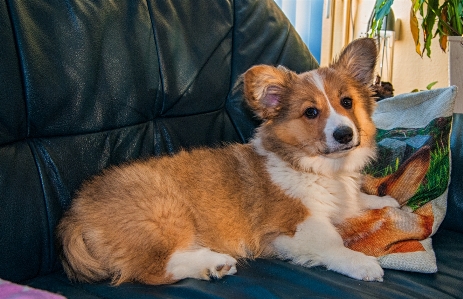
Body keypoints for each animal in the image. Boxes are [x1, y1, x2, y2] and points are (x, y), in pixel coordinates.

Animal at [57, 37, 398, 286]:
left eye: (347, 102)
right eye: (311, 112)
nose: (344, 134)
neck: (321, 169)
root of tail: (75, 214)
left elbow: (358, 202)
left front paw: (389, 203)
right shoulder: (295, 225)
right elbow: (331, 243)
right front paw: (362, 263)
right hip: (166, 214)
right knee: (152, 270)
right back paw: (213, 263)